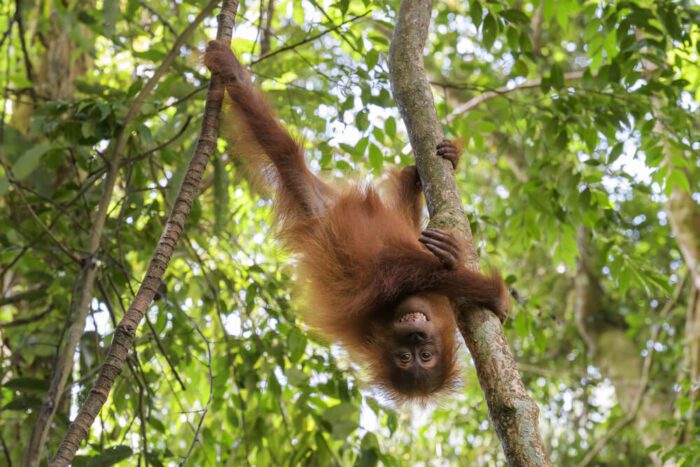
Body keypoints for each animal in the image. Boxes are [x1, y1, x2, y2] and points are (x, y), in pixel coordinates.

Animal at [204, 40, 509, 402]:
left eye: (425, 356)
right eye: (406, 359)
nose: (416, 336)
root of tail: (320, 216)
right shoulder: (376, 293)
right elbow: (398, 267)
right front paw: (493, 292)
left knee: (286, 154)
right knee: (286, 151)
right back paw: (231, 68)